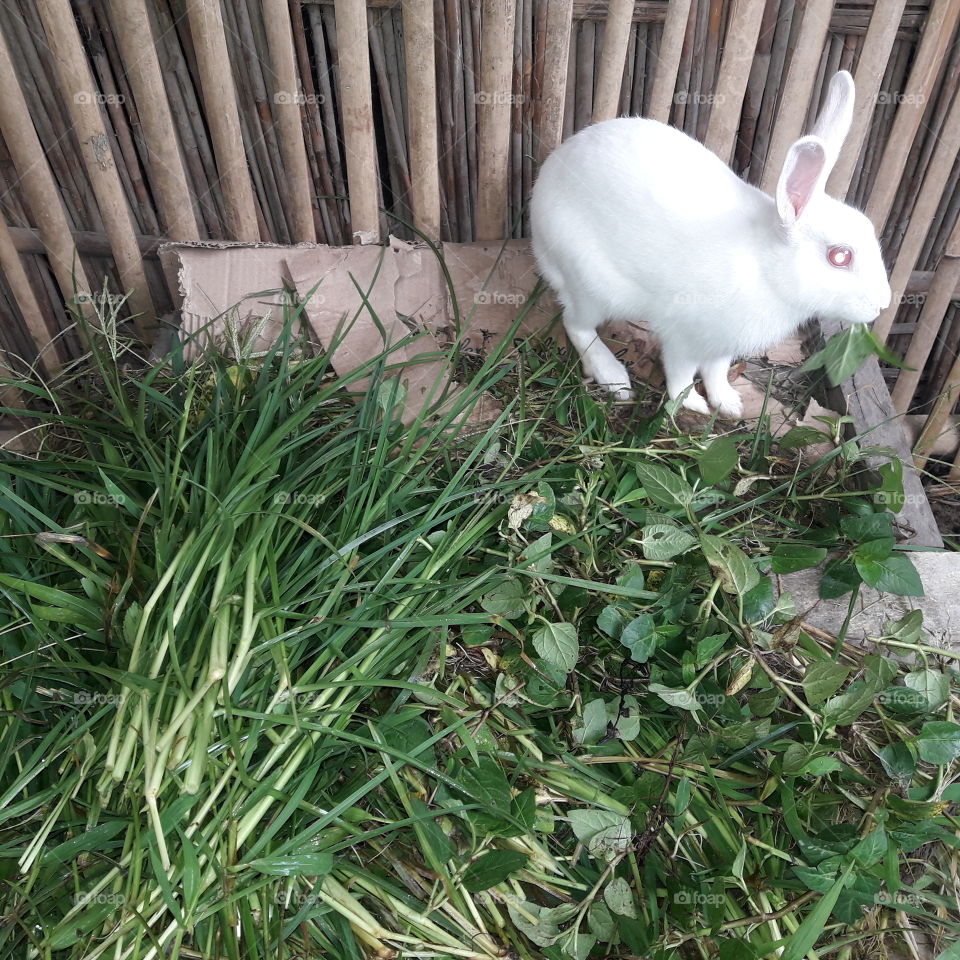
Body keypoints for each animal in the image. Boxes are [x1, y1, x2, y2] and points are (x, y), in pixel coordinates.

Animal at [530, 71, 892, 418]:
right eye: (840, 256)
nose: (884, 304)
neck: (764, 267)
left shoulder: (722, 345)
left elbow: (716, 371)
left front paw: (729, 403)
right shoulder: (684, 337)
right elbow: (680, 373)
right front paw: (692, 404)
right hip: (591, 286)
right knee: (576, 325)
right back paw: (615, 379)